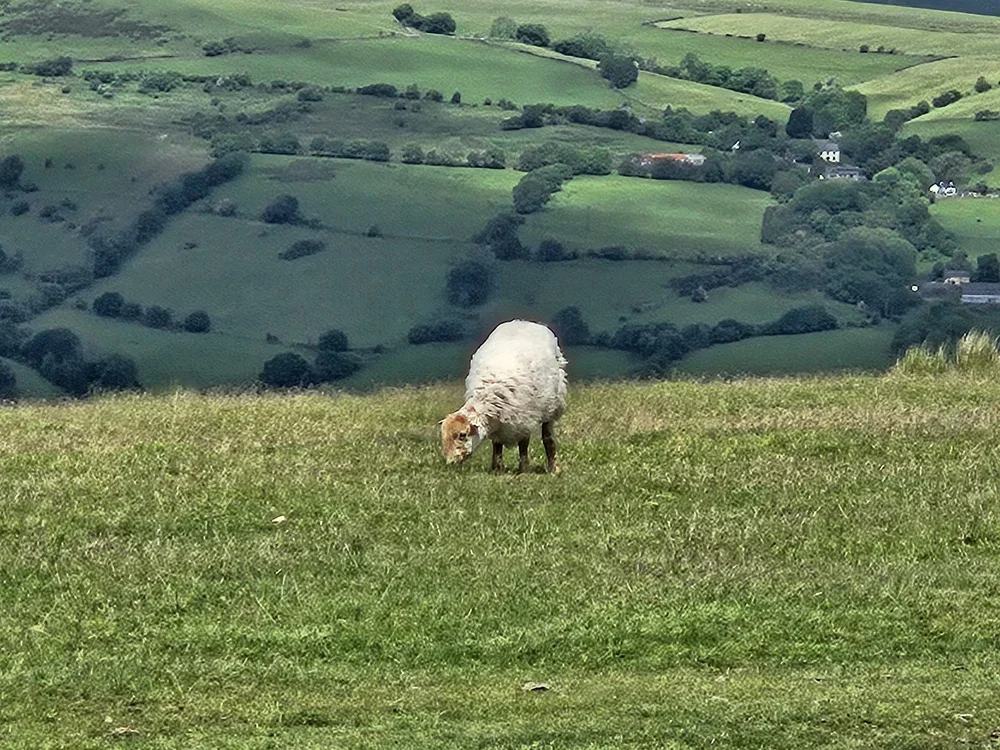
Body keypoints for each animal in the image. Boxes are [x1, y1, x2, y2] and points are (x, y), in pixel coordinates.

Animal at [440, 319, 567, 473]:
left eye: (462, 435)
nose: (450, 463)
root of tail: (525, 321)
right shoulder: (499, 424)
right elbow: (497, 445)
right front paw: (497, 468)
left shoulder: (523, 418)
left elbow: (523, 444)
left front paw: (523, 469)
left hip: (553, 403)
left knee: (548, 436)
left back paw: (552, 468)